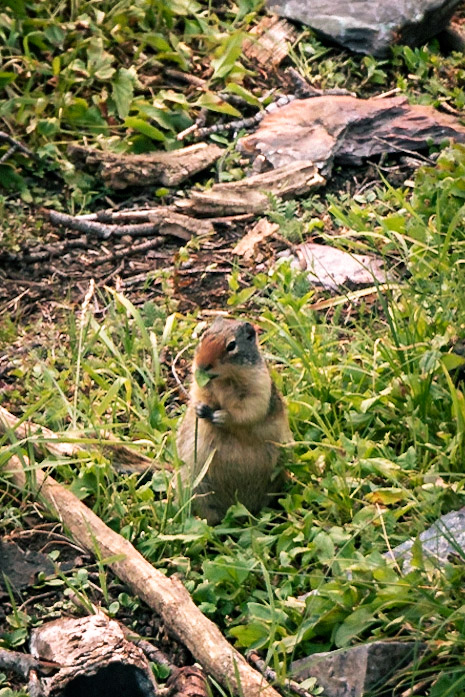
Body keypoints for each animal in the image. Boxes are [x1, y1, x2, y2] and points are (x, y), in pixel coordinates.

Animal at [176, 317, 291, 524]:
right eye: (203, 336)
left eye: (231, 345)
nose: (202, 365)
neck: (224, 381)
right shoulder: (200, 388)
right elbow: (199, 396)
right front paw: (200, 409)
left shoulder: (258, 390)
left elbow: (246, 412)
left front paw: (221, 416)